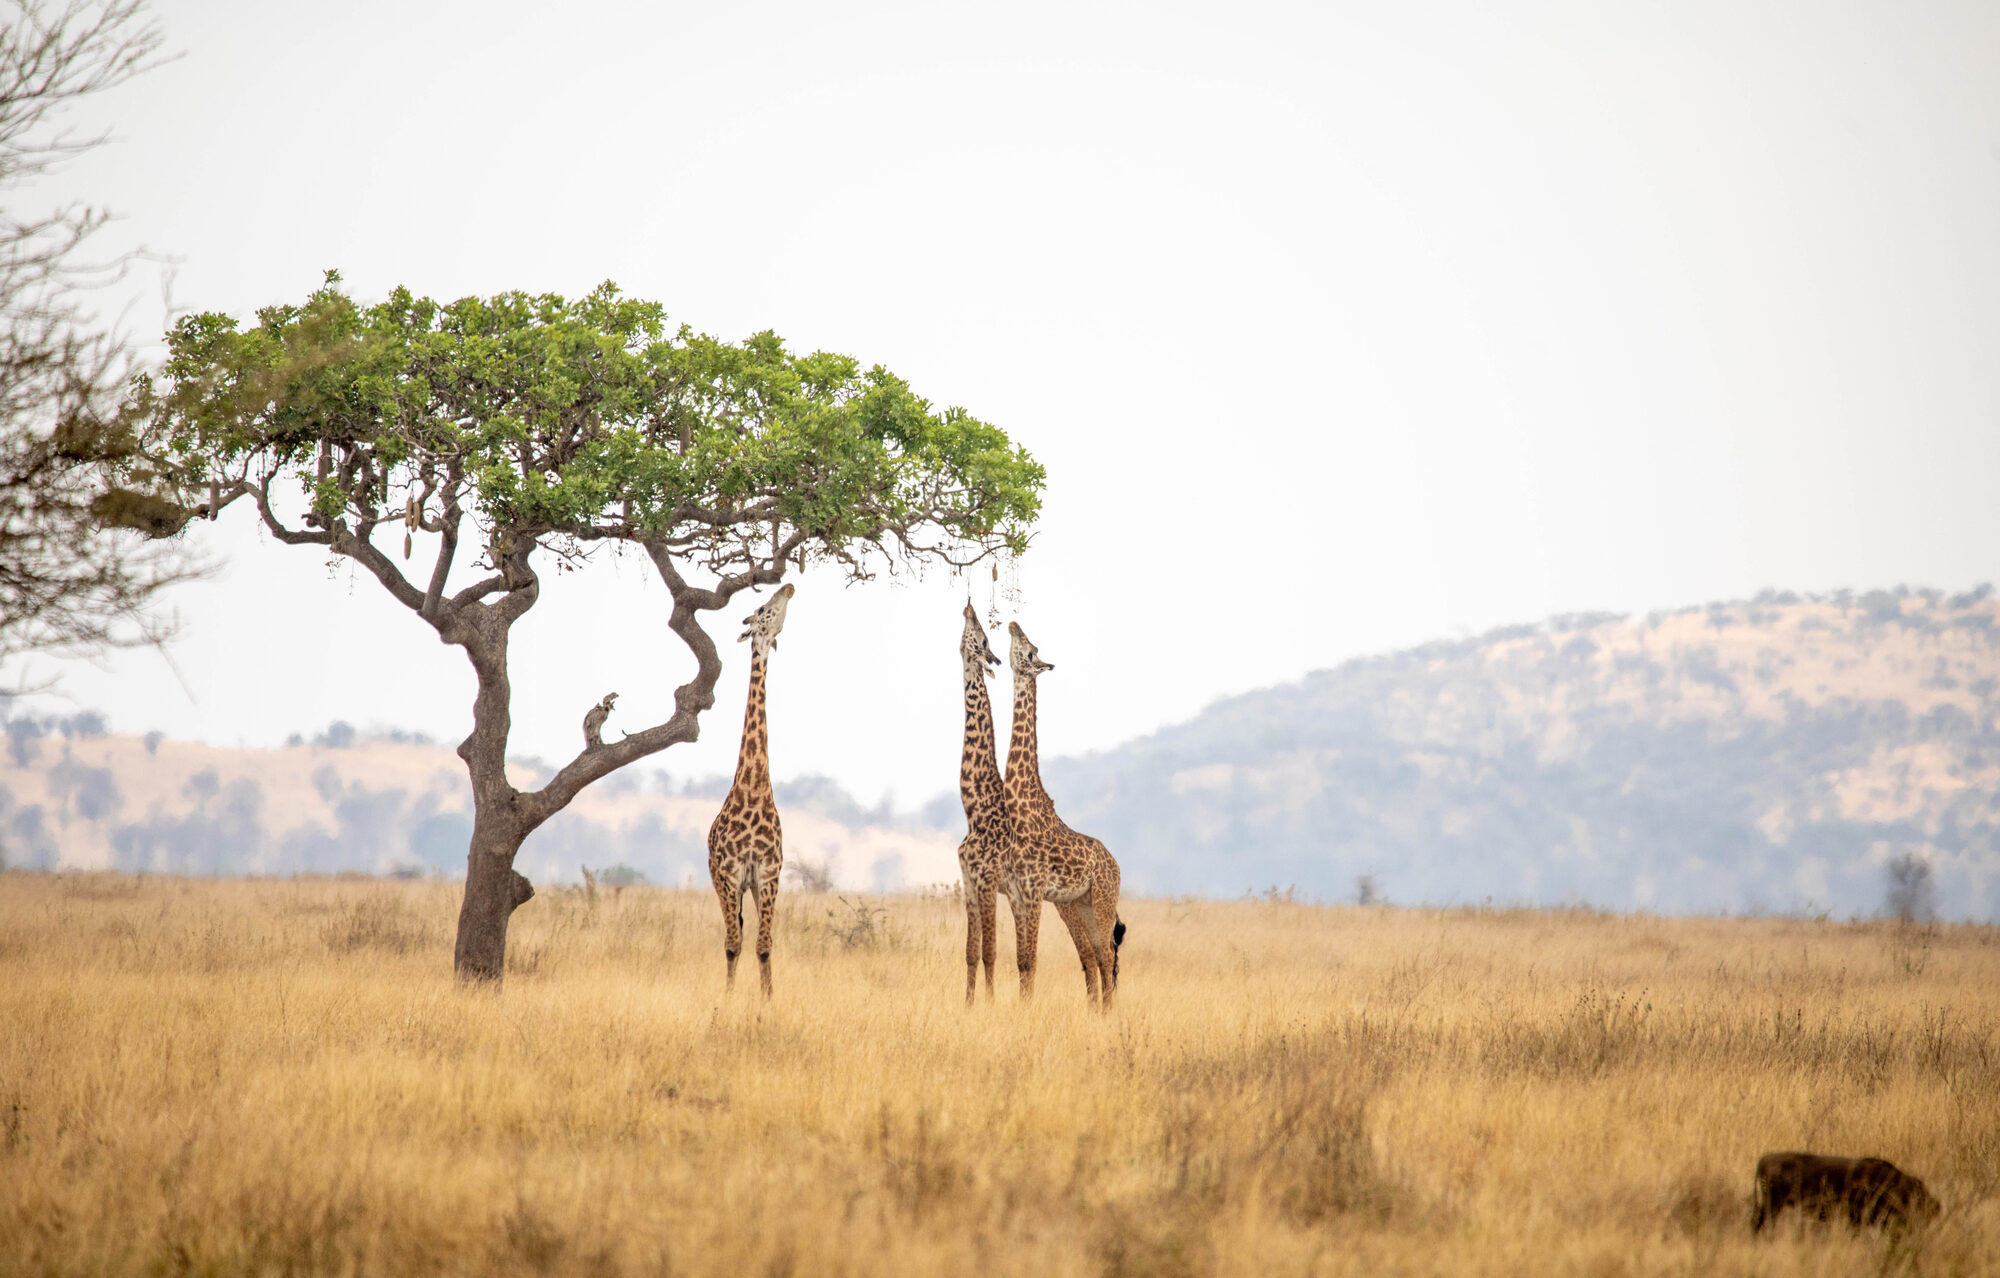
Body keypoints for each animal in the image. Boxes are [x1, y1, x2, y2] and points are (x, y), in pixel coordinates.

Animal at [1003, 621, 1126, 1007]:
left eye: (1030, 651)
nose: (1013, 624)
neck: (1021, 807)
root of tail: (1116, 864)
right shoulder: (1017, 893)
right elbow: (1021, 959)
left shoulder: (1032, 890)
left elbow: (1030, 958)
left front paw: (1025, 1010)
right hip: (1078, 903)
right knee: (1093, 954)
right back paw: (1096, 1009)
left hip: (1102, 898)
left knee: (1106, 953)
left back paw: (1106, 1011)